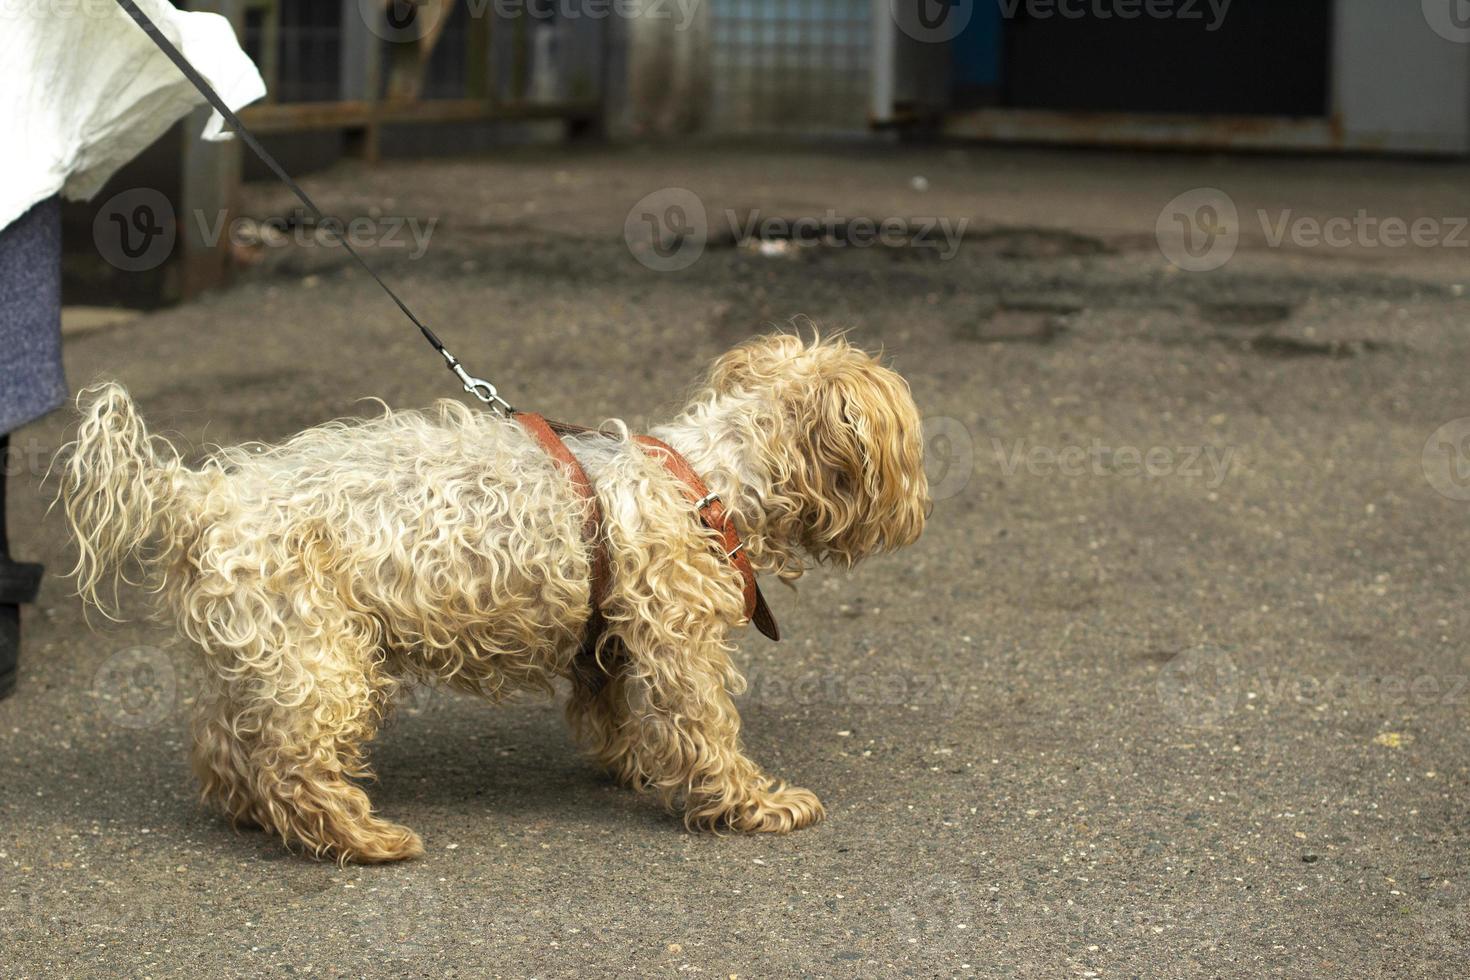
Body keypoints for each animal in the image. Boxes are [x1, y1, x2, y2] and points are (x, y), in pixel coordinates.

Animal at [63, 333, 929, 863]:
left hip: (254, 654)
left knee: (224, 754)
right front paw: (755, 804)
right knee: (291, 768)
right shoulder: (678, 645)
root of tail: (199, 493)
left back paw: (256, 815)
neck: (709, 480)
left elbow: (619, 719)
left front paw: (641, 770)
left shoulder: (609, 641)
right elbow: (705, 732)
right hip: (323, 663)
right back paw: (363, 839)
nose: (920, 507)